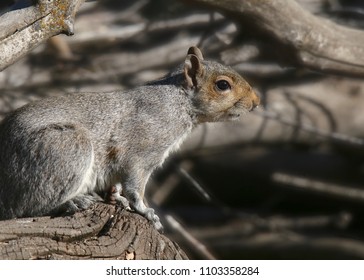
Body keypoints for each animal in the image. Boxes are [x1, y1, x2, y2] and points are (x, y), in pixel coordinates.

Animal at [0, 46, 258, 230]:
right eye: (222, 85)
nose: (256, 102)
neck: (178, 102)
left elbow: (116, 183)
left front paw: (116, 198)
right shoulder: (140, 151)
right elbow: (135, 185)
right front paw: (145, 210)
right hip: (65, 148)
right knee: (28, 206)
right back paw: (71, 201)